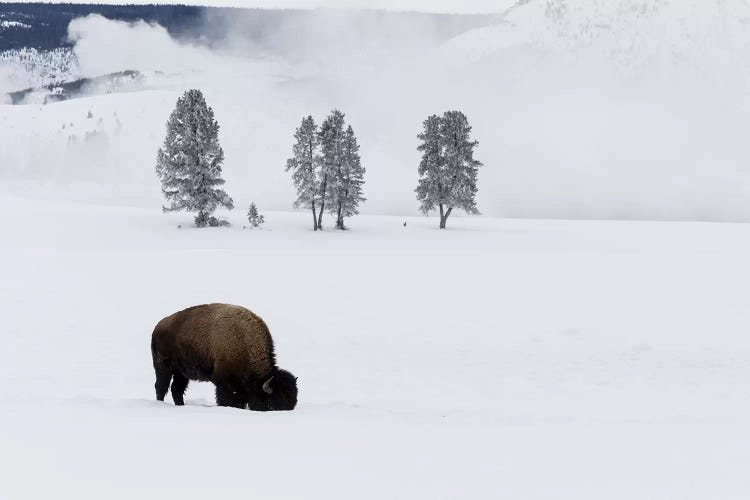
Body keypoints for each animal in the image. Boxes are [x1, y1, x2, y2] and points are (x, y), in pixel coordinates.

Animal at [150, 302, 296, 412]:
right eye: (272, 402)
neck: (244, 341)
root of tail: (158, 327)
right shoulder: (224, 381)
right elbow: (226, 398)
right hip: (164, 367)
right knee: (161, 387)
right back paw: (160, 404)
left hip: (182, 373)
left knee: (176, 389)